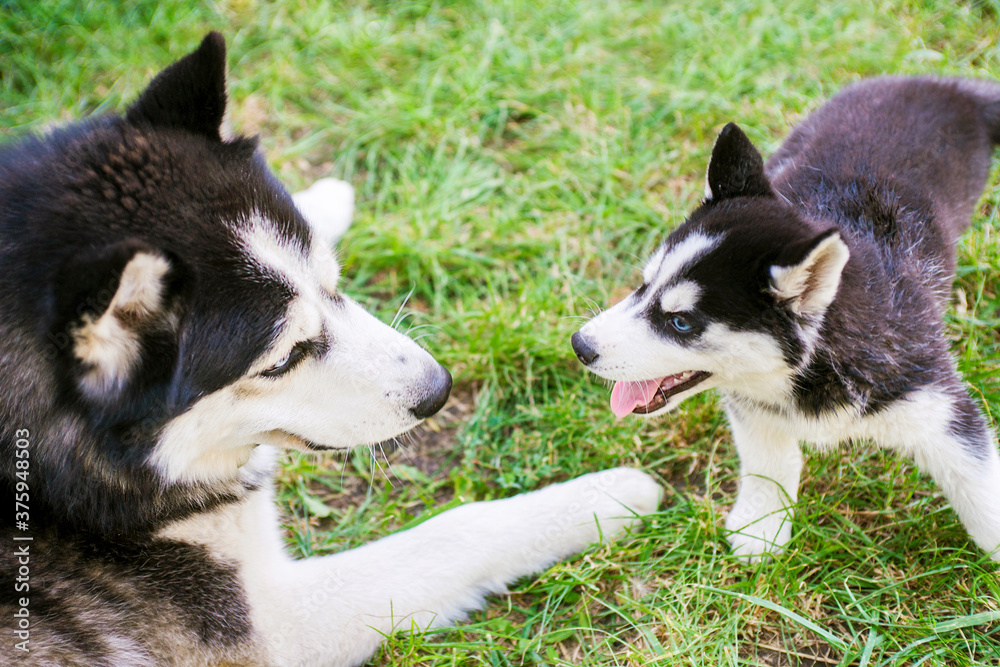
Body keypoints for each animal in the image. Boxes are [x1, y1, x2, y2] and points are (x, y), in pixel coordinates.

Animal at [1, 34, 664, 664]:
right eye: (281, 359)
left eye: (334, 280)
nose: (438, 390)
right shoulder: (277, 627)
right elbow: (456, 530)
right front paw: (607, 496)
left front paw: (322, 198)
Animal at [572, 77, 1000, 564]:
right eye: (644, 285)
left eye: (680, 322)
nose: (580, 345)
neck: (816, 364)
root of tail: (943, 85)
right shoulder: (754, 407)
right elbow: (768, 462)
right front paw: (762, 527)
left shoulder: (937, 404)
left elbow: (980, 490)